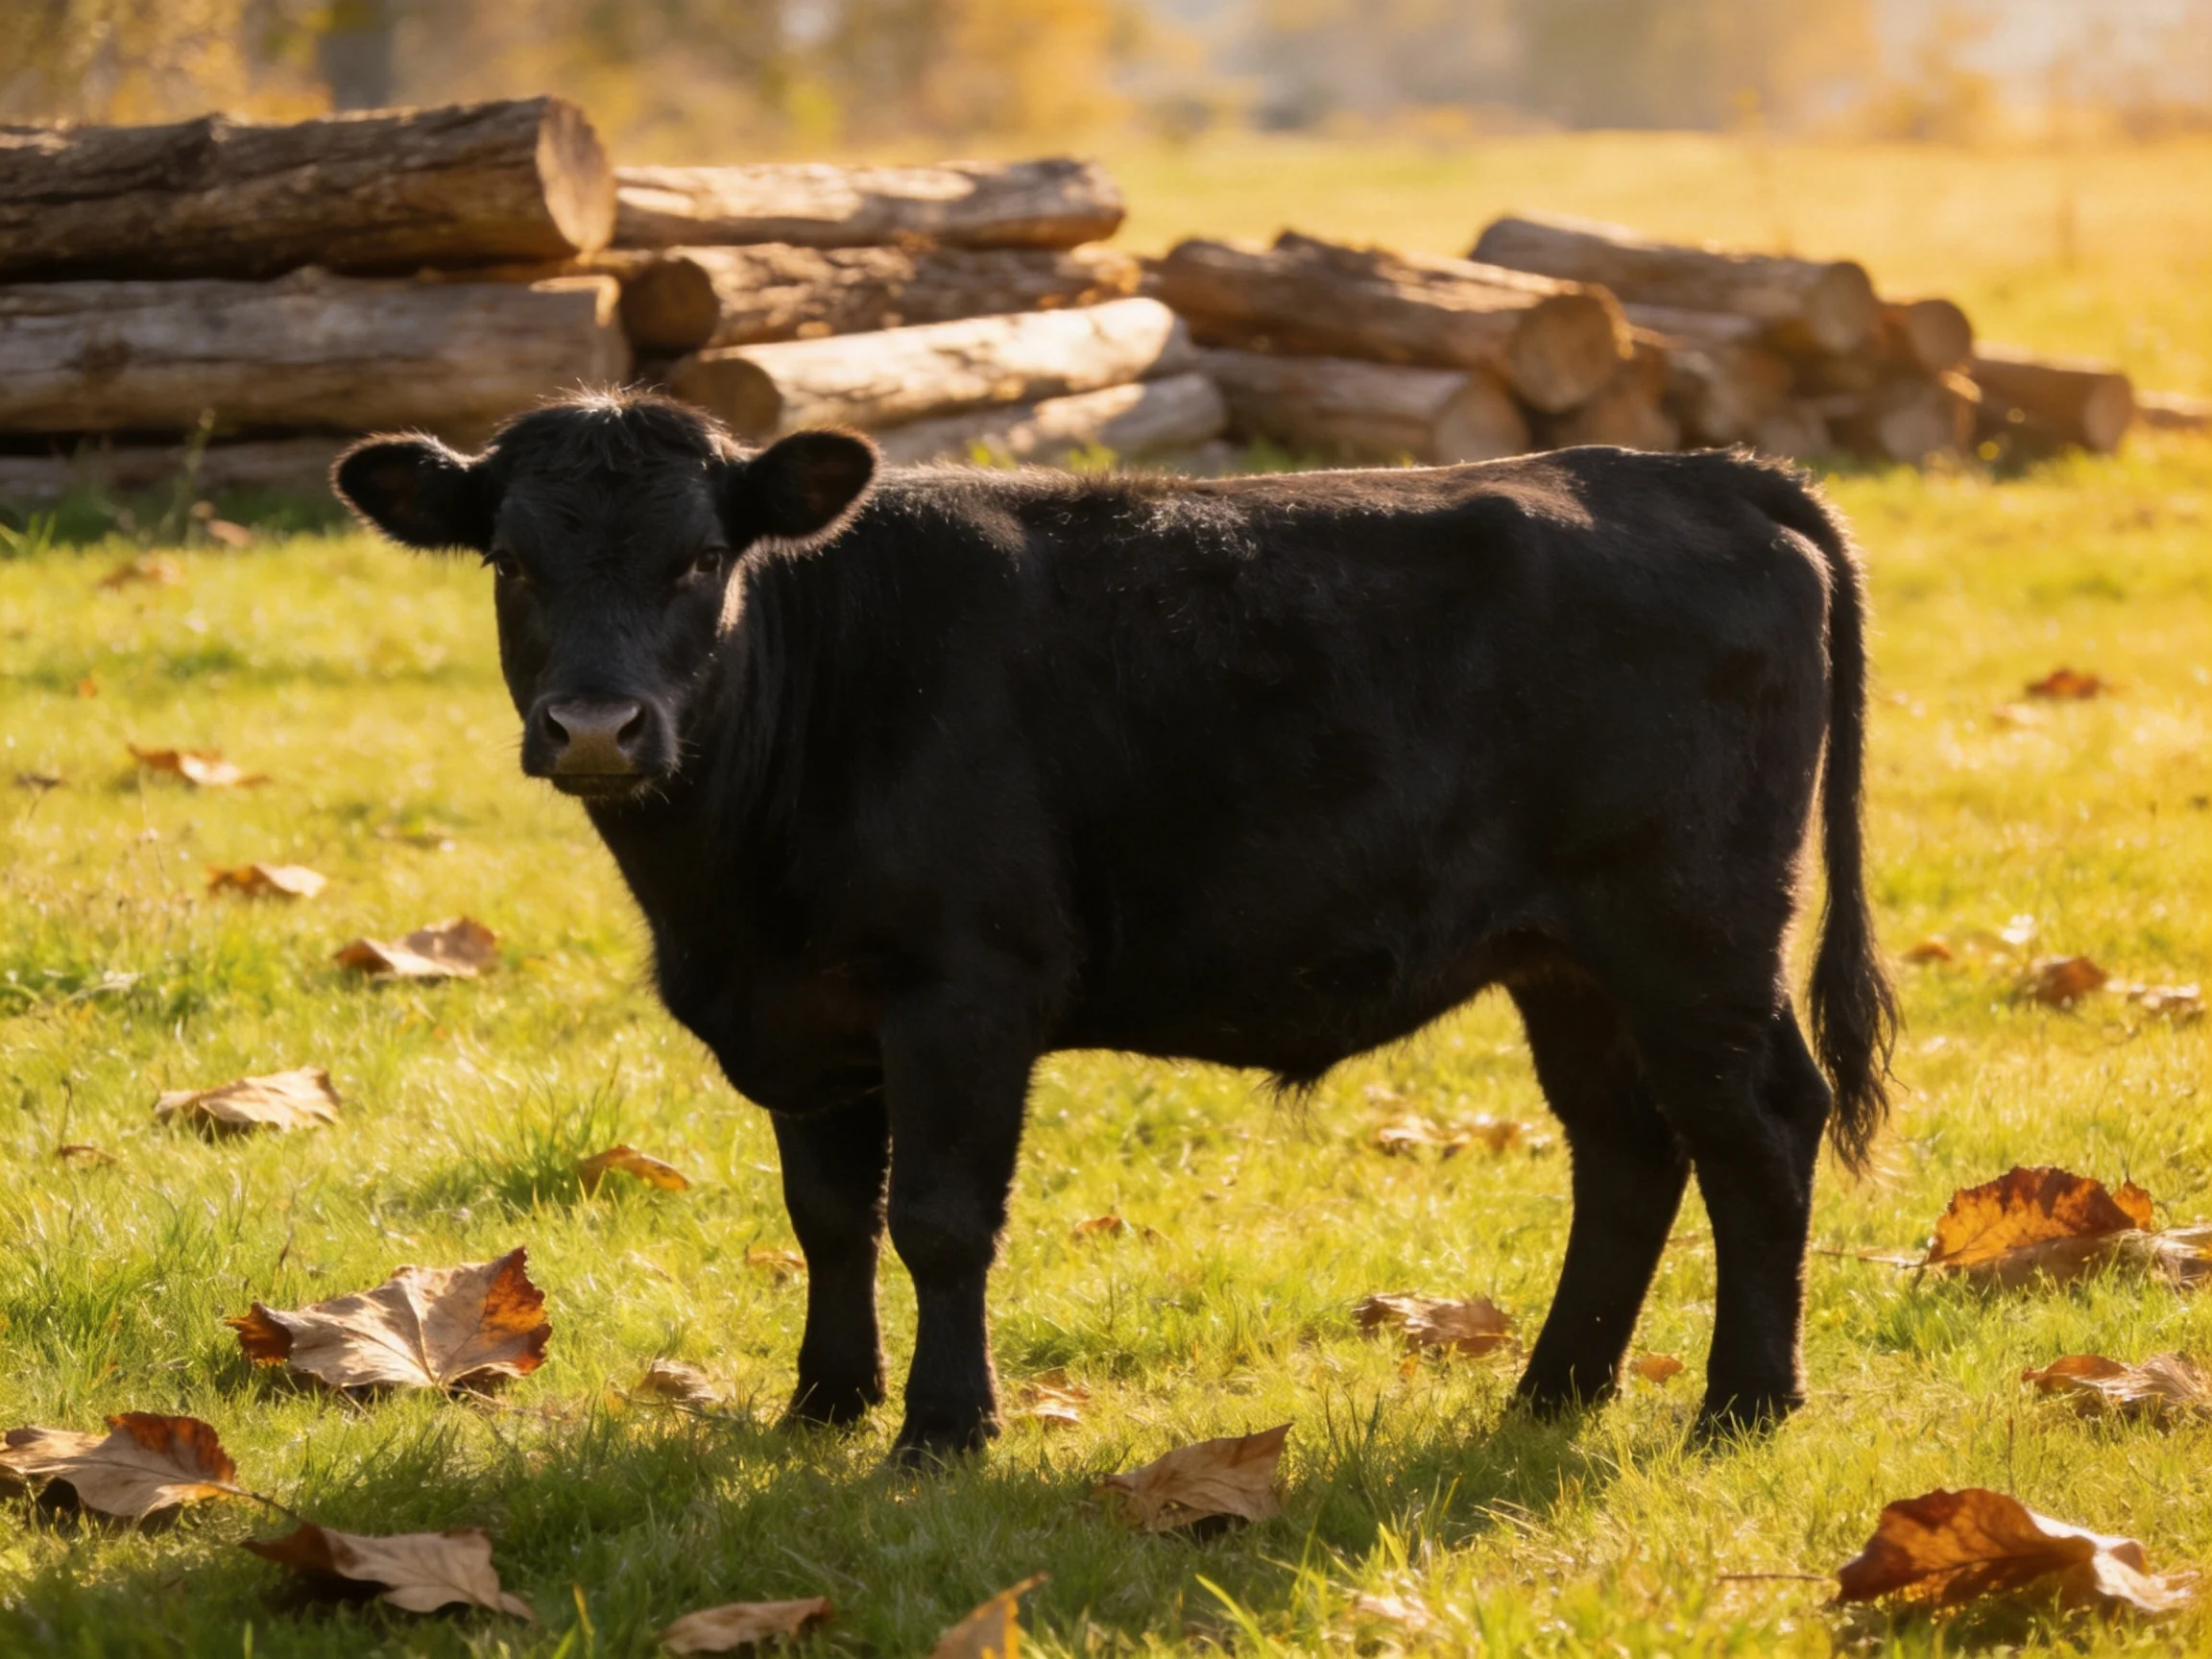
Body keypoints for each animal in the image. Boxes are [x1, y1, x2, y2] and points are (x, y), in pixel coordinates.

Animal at [333, 390, 1896, 1463]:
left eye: (700, 558)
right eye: (512, 563)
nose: (599, 726)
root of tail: (1690, 472)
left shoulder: (965, 988)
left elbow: (941, 1218)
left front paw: (943, 1430)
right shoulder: (811, 1018)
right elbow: (830, 1216)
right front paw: (823, 1405)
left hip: (1693, 932)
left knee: (1758, 1128)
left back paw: (1744, 1404)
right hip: (1568, 961)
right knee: (1626, 1150)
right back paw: (1551, 1391)